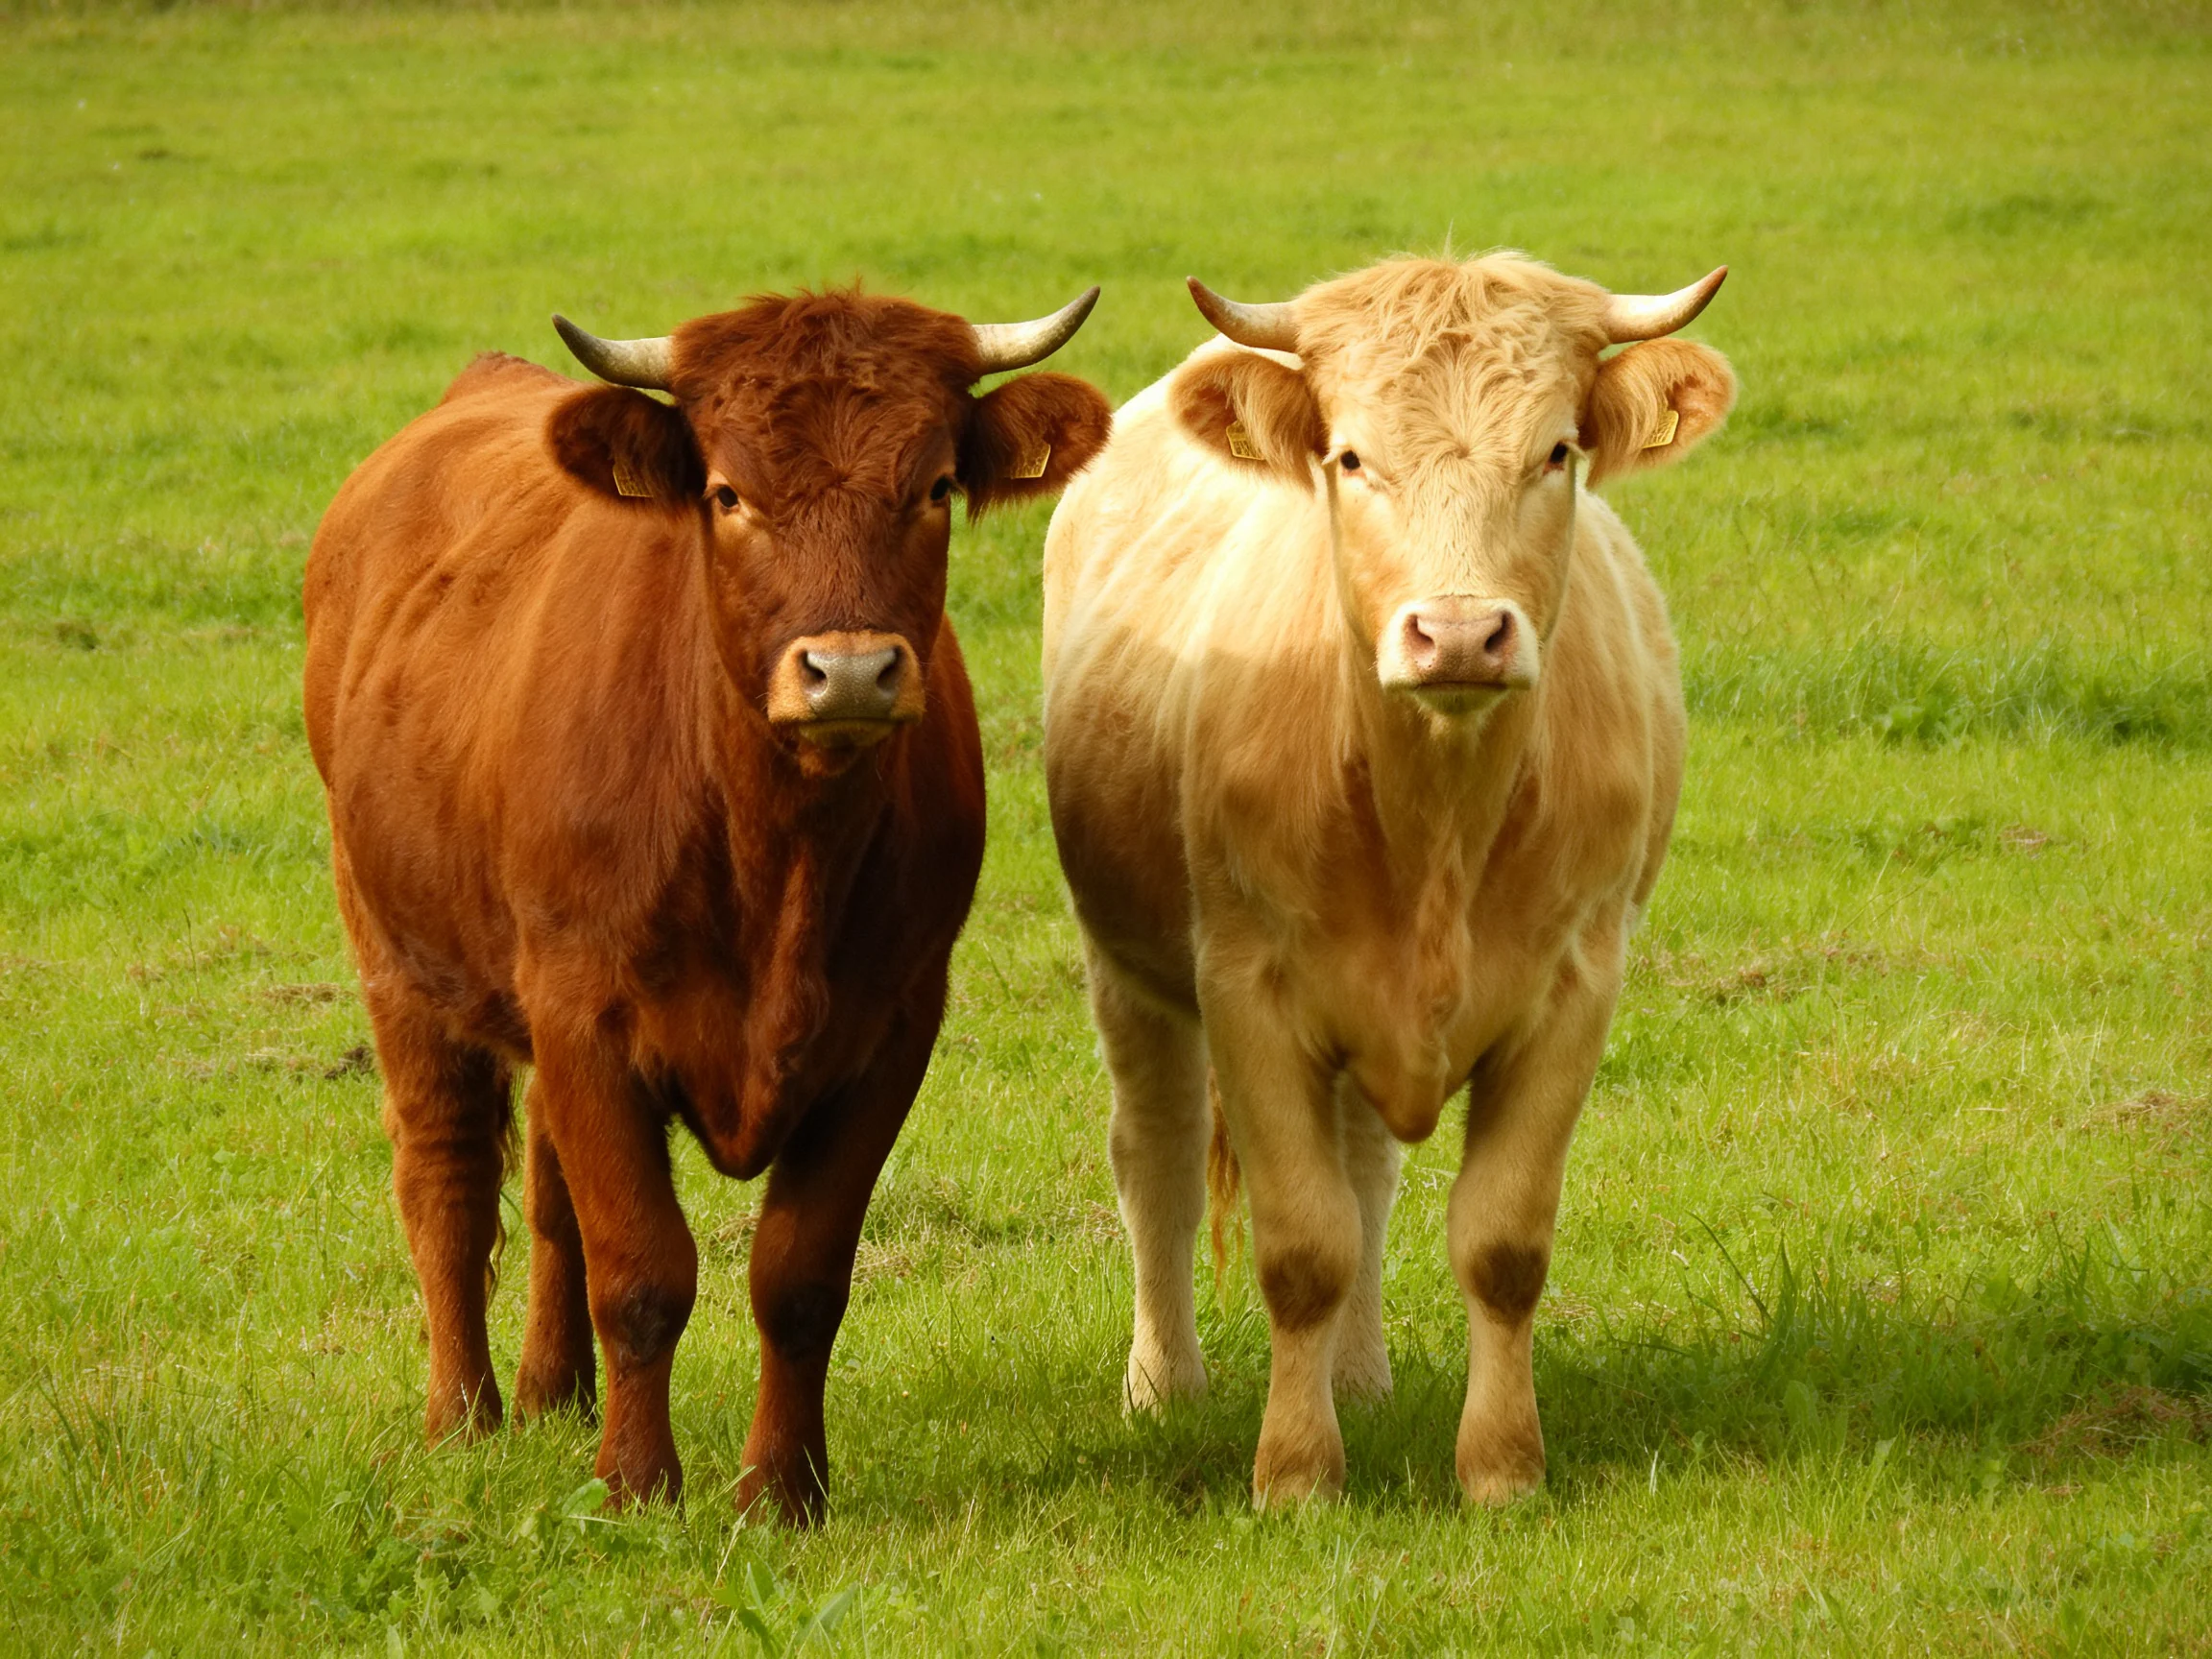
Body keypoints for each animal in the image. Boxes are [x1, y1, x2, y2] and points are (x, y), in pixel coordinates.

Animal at [304, 284, 1111, 1522]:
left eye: (933, 486)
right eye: (729, 494)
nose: (851, 670)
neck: (779, 856)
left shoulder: (890, 1027)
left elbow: (798, 1276)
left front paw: (782, 1492)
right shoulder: (587, 1014)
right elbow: (641, 1268)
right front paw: (638, 1488)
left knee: (548, 1197)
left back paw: (552, 1394)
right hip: (398, 958)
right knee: (447, 1180)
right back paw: (466, 1420)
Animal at [1040, 253, 1735, 1506]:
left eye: (1556, 451)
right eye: (1353, 458)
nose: (1457, 635)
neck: (1437, 825)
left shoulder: (1578, 985)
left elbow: (1499, 1242)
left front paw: (1502, 1473)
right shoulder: (1247, 989)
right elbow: (1300, 1249)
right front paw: (1295, 1478)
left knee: (1364, 1173)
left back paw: (1360, 1378)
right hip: (1127, 971)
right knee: (1155, 1157)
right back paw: (1165, 1386)